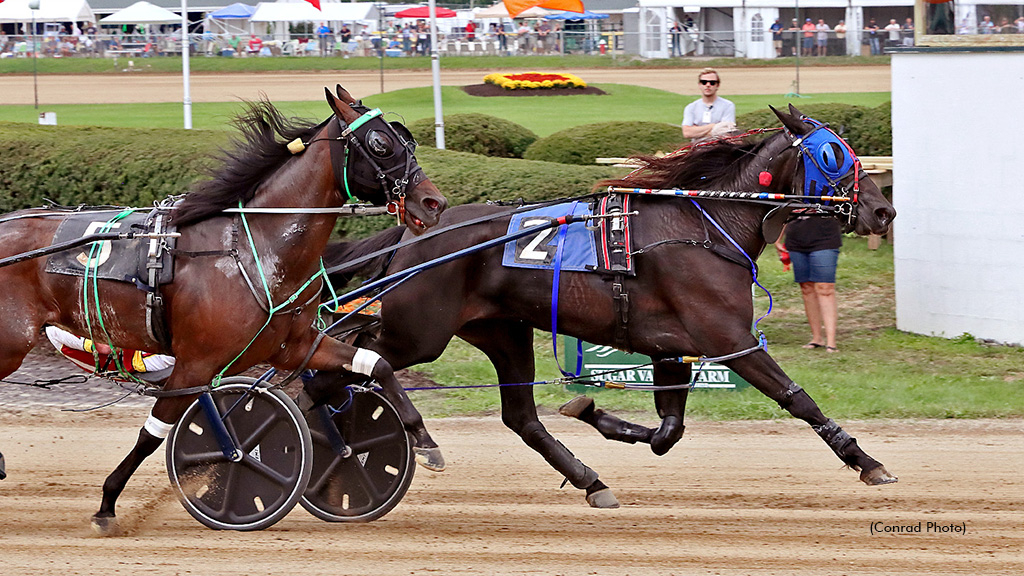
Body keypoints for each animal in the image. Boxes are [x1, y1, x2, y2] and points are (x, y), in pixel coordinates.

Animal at [0, 86, 444, 532]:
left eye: (406, 139)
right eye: (380, 143)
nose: (433, 202)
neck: (253, 248)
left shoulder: (295, 347)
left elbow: (376, 365)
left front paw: (425, 443)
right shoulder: (195, 363)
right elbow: (155, 433)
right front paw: (108, 504)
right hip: (11, 344)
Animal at [315, 106, 901, 506]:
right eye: (832, 154)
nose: (883, 210)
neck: (707, 227)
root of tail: (413, 232)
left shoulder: (671, 349)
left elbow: (668, 431)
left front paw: (591, 410)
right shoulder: (729, 339)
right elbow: (797, 400)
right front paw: (869, 462)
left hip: (502, 331)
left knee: (519, 417)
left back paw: (590, 480)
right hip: (421, 330)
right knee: (360, 355)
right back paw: (390, 437)